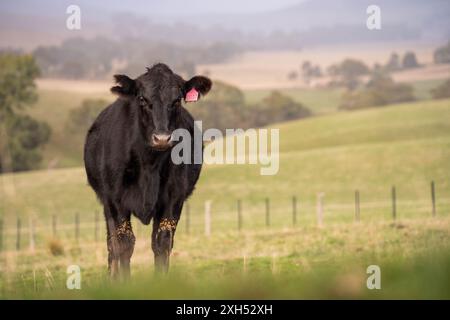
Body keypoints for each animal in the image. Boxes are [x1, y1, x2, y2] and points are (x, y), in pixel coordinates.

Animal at [83, 63, 212, 278]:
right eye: (142, 99)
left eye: (177, 100)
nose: (162, 138)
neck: (149, 164)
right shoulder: (116, 200)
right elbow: (124, 243)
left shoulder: (173, 198)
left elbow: (162, 242)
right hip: (106, 203)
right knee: (112, 244)